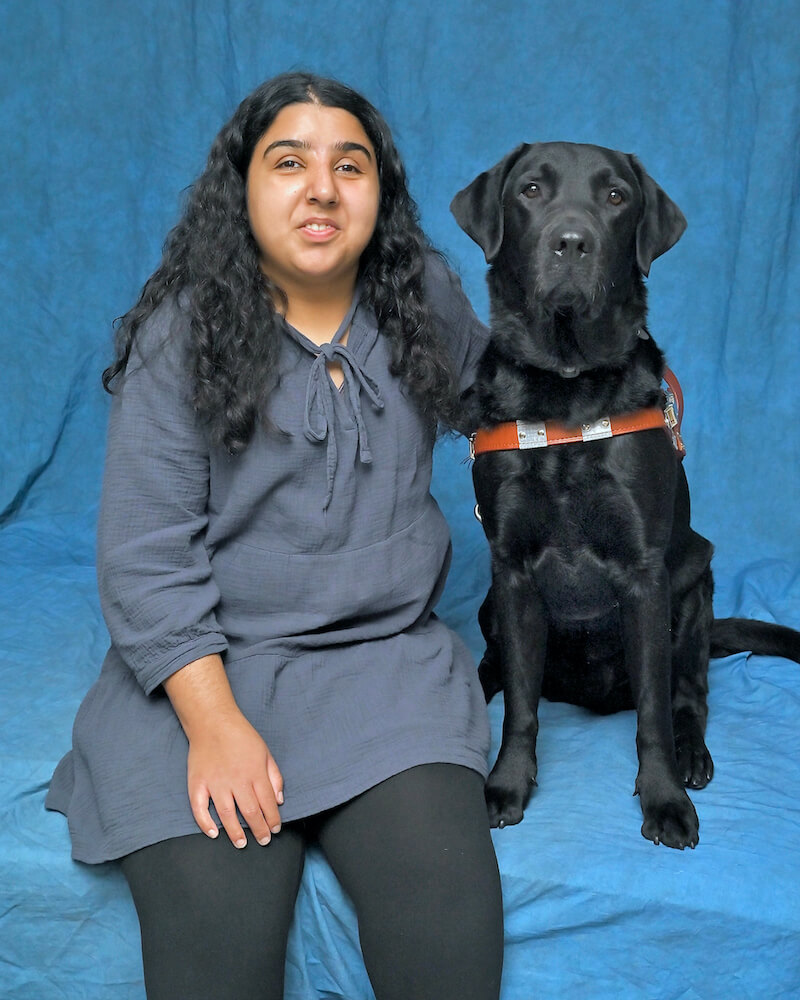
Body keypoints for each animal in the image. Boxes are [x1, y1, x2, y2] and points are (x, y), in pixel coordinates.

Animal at [450, 143, 800, 852]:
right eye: (530, 191)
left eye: (616, 198)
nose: (571, 242)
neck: (566, 387)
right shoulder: (513, 571)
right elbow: (520, 708)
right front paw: (507, 784)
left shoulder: (646, 575)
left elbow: (653, 718)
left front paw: (664, 799)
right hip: (491, 603)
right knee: (500, 668)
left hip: (694, 586)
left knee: (687, 694)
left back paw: (692, 754)